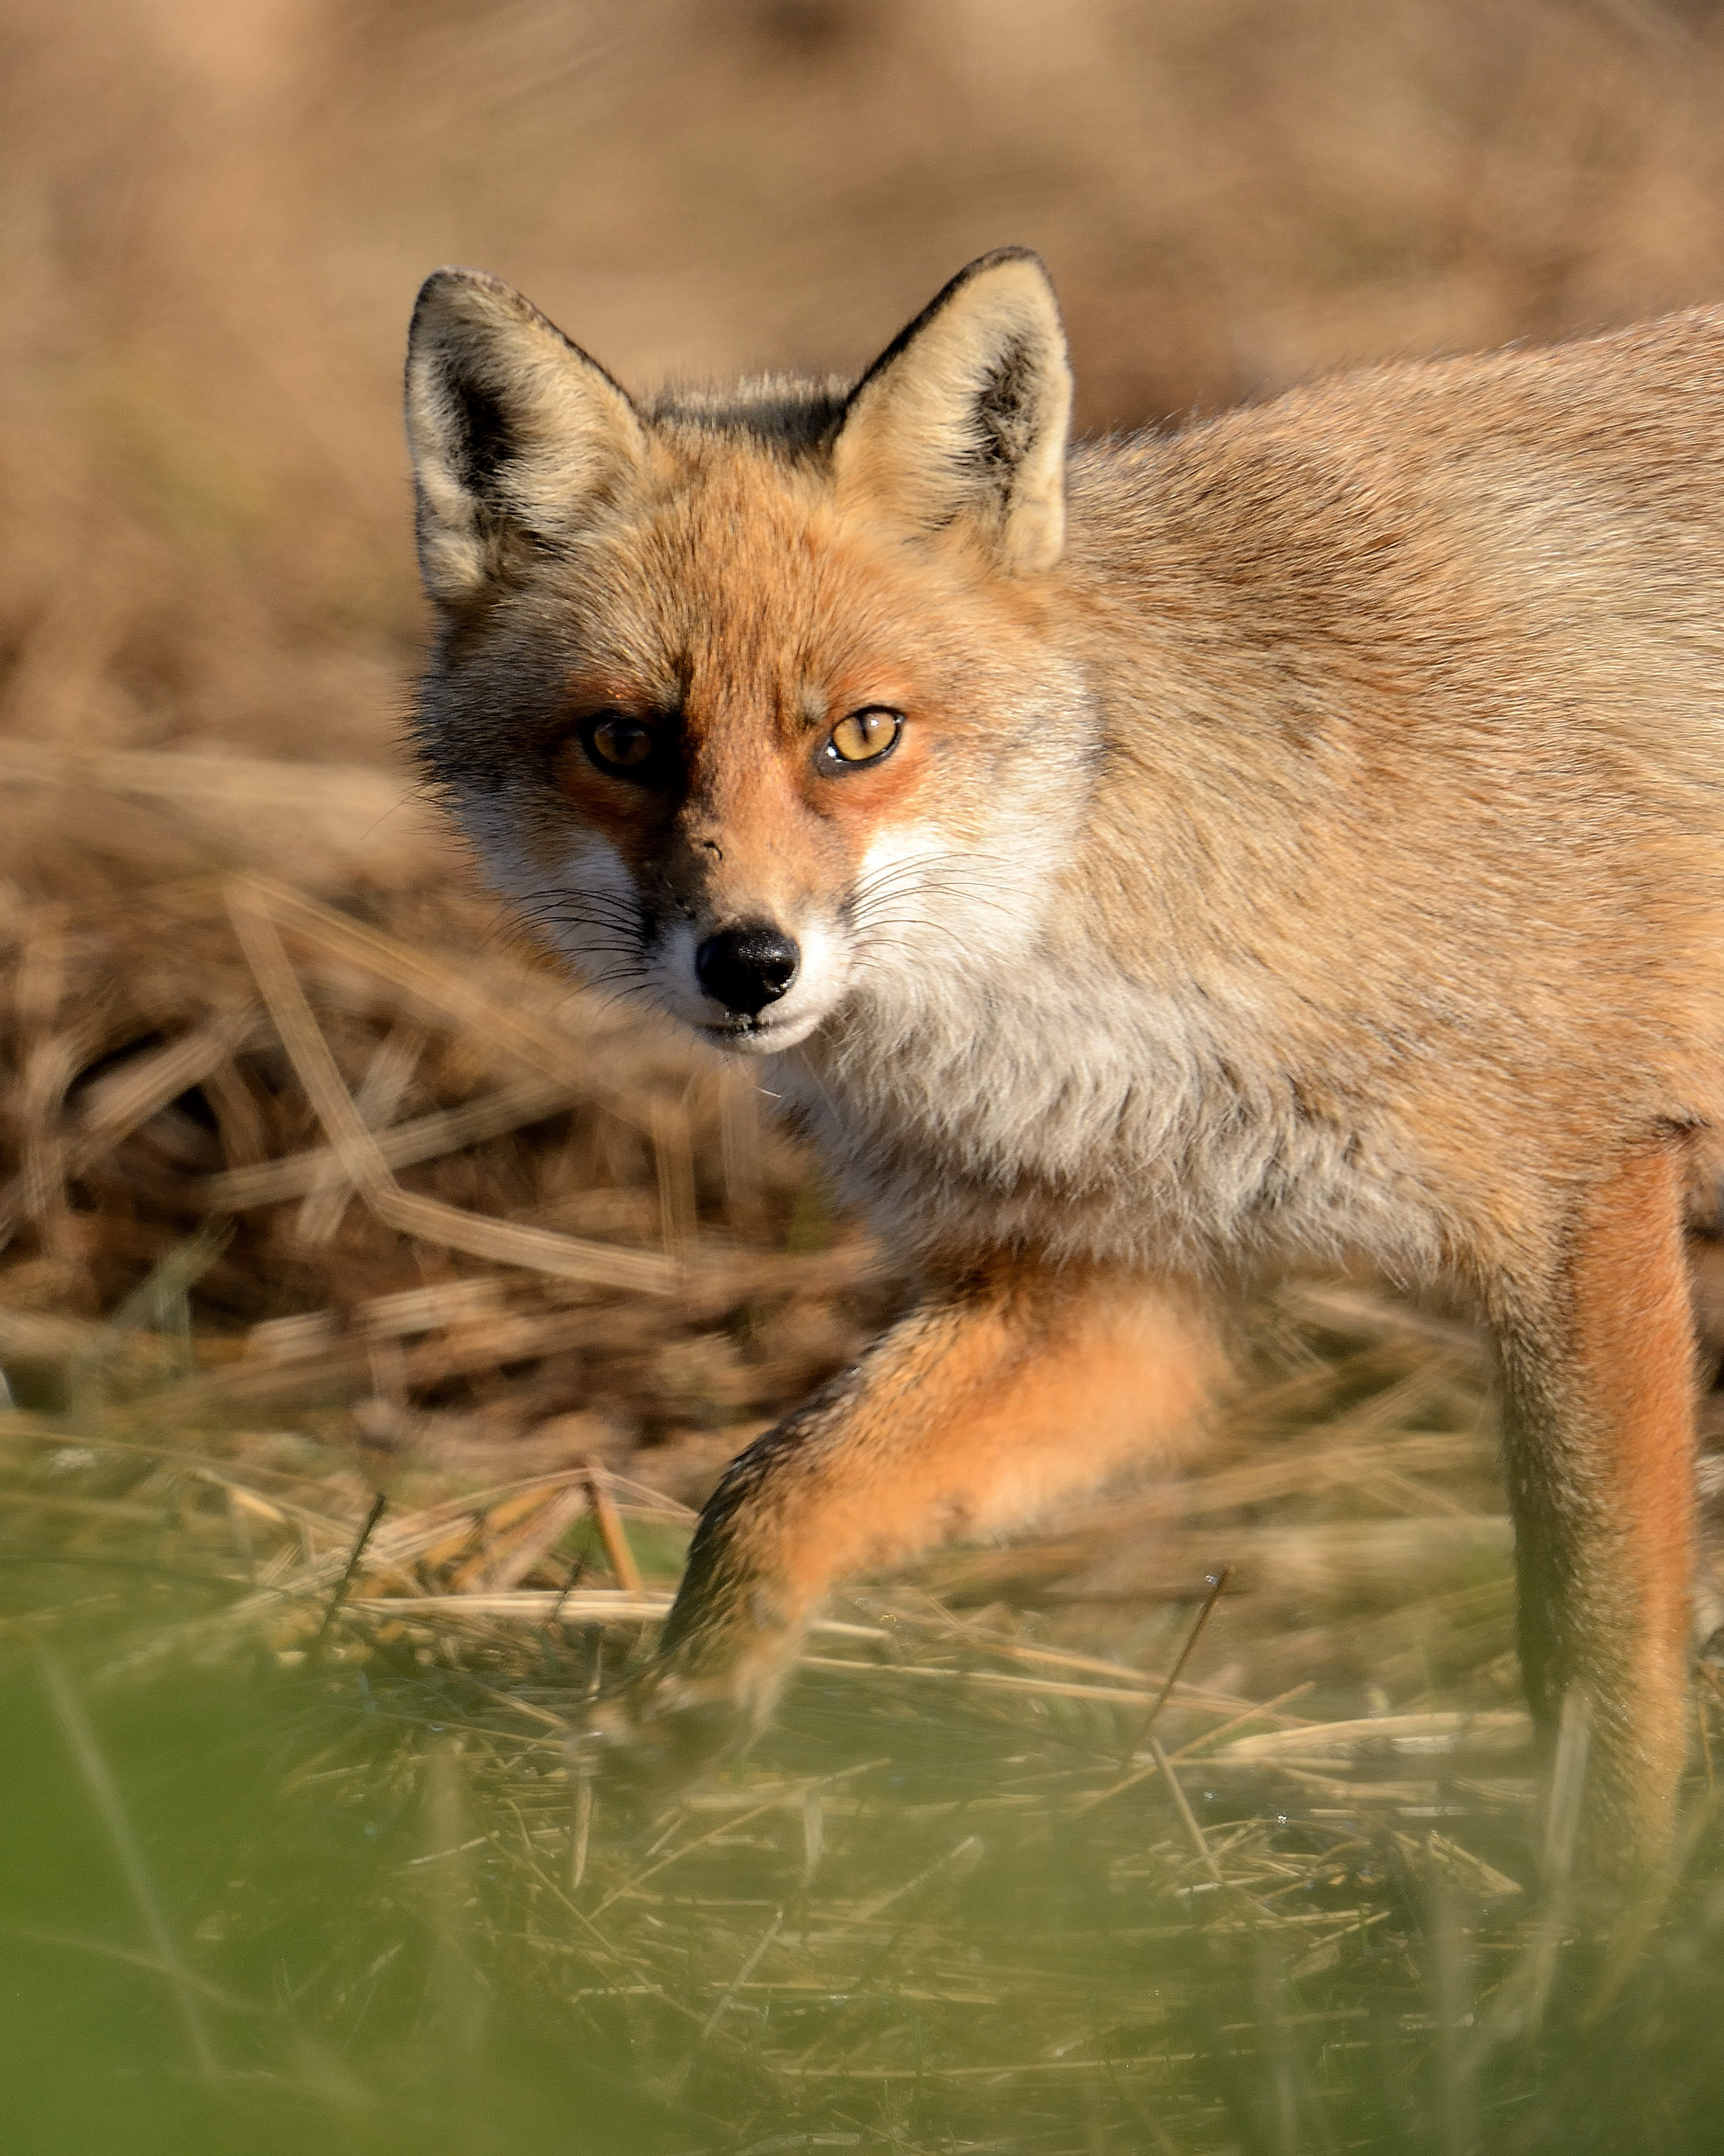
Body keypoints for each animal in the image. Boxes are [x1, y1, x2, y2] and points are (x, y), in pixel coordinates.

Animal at [403, 248, 1724, 1875]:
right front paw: (693, 1696)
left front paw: (1592, 1922)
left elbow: (1590, 1653)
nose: (748, 963)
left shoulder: (1576, 1194)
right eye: (626, 744)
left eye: (859, 736)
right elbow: (771, 1485)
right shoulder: (1104, 1289)